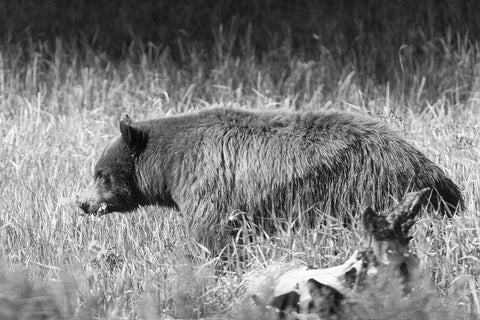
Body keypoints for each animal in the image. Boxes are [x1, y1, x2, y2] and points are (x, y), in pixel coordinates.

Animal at [77, 109, 464, 249]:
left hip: (362, 186)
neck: (171, 165)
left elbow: (211, 233)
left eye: (100, 174)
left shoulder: (208, 185)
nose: (82, 202)